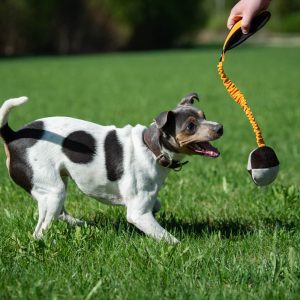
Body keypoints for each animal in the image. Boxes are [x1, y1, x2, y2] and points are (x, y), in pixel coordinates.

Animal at [0, 94, 223, 244]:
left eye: (204, 115)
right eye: (190, 126)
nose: (220, 127)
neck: (151, 147)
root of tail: (13, 135)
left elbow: (157, 204)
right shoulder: (138, 214)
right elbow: (166, 237)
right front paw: (181, 247)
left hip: (57, 185)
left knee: (60, 213)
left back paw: (84, 225)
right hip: (53, 190)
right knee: (39, 232)